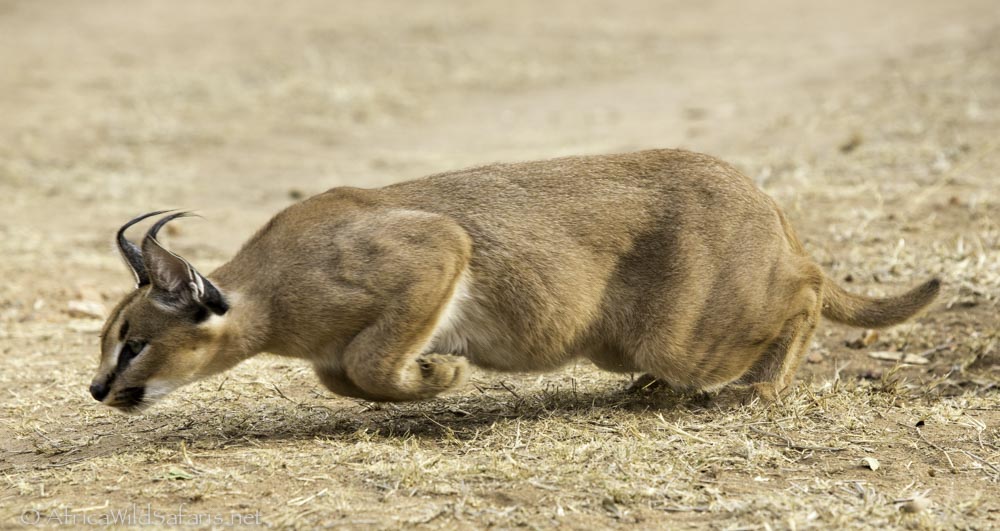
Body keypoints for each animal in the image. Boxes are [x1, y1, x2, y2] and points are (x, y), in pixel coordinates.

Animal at [88, 149, 936, 412]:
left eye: (132, 343)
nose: (96, 389)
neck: (269, 292)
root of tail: (758, 191)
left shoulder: (437, 244)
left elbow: (368, 360)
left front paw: (440, 371)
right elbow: (346, 374)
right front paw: (428, 374)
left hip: (685, 331)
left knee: (808, 285)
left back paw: (761, 384)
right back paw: (657, 387)